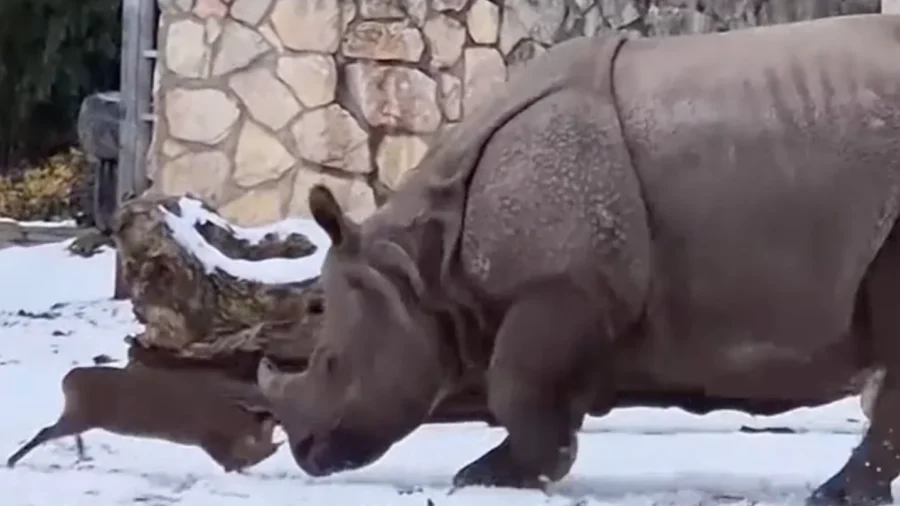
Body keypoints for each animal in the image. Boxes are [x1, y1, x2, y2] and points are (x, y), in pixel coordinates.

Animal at [6, 364, 283, 472]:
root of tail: (67, 379)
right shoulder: (206, 436)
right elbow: (227, 461)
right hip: (81, 414)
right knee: (45, 431)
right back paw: (11, 461)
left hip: (79, 415)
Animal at [257, 14, 900, 506]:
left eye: (331, 363)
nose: (306, 452)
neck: (423, 264)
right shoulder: (588, 293)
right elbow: (549, 390)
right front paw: (530, 468)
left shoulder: (560, 285)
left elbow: (512, 383)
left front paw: (488, 478)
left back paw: (835, 495)